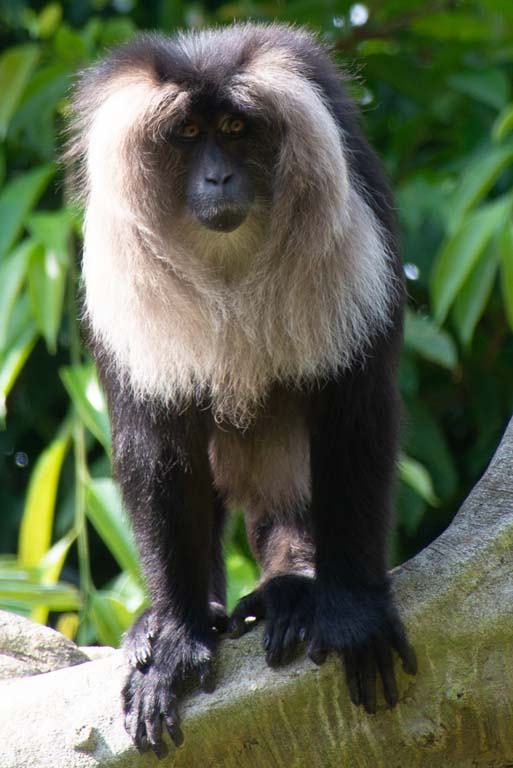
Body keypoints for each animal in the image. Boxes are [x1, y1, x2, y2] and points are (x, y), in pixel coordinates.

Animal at [67, 22, 417, 757]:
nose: (217, 176)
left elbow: (353, 416)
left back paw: (291, 594)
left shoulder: (357, 246)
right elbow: (156, 449)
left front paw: (350, 609)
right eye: (186, 134)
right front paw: (176, 637)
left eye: (233, 128)